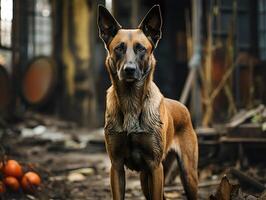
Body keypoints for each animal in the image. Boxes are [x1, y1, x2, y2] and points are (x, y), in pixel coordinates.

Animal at [97, 4, 197, 200]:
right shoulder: (116, 167)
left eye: (141, 48)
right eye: (119, 48)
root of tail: (183, 107)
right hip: (145, 179)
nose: (129, 70)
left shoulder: (155, 167)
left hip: (187, 175)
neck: (131, 102)